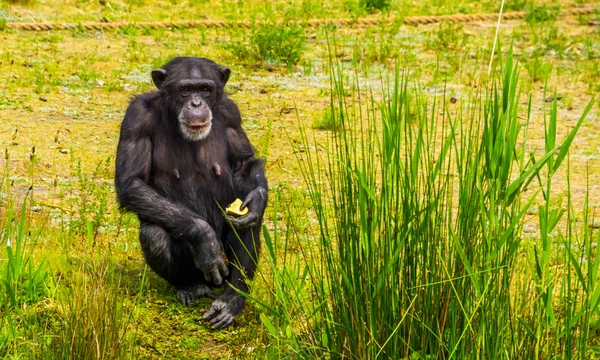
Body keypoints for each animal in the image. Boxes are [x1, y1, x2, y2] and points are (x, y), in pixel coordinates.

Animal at [114, 56, 268, 330]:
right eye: (185, 90)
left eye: (205, 89)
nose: (196, 103)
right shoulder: (136, 118)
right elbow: (131, 181)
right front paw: (205, 238)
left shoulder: (231, 113)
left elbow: (243, 164)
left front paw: (258, 199)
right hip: (203, 274)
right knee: (154, 234)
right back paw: (190, 287)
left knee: (248, 225)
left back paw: (231, 301)